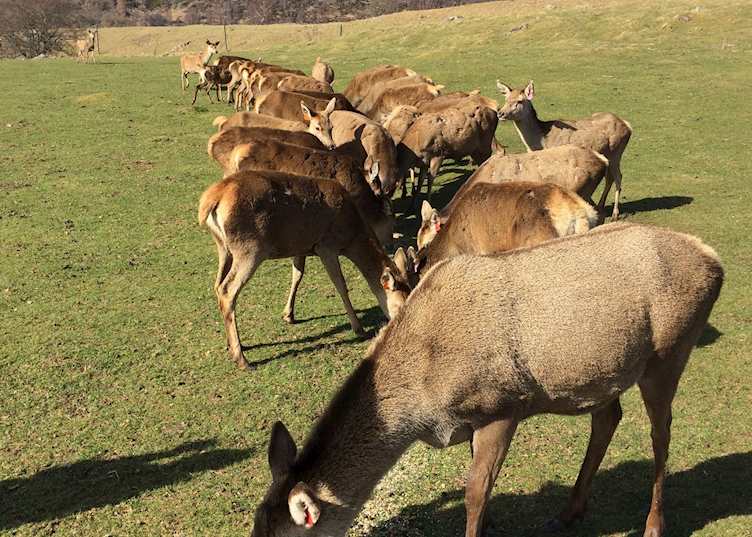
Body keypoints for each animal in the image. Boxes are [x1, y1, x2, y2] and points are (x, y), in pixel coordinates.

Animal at [198, 170, 412, 369]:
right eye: (399, 306)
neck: (352, 236)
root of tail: (211, 200)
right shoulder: (326, 246)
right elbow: (341, 285)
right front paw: (359, 329)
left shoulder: (300, 247)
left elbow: (297, 275)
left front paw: (288, 315)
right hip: (250, 248)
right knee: (227, 290)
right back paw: (241, 358)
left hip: (224, 247)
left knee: (217, 285)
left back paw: (231, 345)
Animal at [250, 221, 723, 537]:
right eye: (255, 527)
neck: (422, 407)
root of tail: (714, 260)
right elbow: (482, 484)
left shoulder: (502, 405)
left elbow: (474, 490)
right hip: (605, 368)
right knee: (608, 416)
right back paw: (570, 511)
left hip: (669, 352)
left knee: (662, 432)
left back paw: (654, 524)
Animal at [496, 80, 632, 219]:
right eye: (506, 99)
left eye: (520, 101)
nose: (500, 113)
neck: (540, 142)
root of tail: (627, 125)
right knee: (610, 177)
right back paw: (601, 205)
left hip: (616, 152)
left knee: (618, 177)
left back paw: (615, 213)